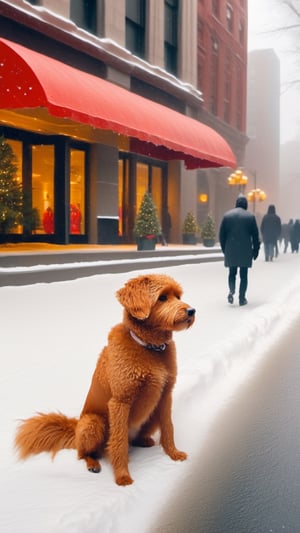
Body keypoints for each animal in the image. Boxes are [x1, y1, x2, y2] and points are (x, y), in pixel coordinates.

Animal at [15, 272, 196, 484]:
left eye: (178, 296)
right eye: (162, 297)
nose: (191, 311)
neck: (149, 348)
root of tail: (75, 429)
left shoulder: (165, 395)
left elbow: (168, 428)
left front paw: (173, 454)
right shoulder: (119, 402)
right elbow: (118, 442)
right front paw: (122, 477)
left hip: (151, 413)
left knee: (135, 439)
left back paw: (144, 440)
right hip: (93, 423)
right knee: (84, 453)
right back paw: (93, 464)